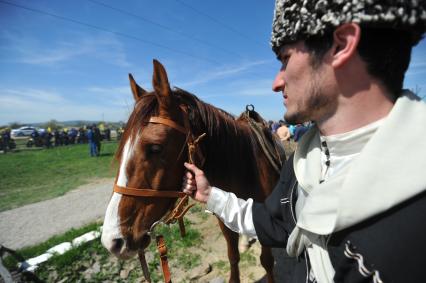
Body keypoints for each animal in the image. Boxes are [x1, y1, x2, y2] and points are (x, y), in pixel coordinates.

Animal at [101, 60, 284, 283]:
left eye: (155, 148)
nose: (112, 240)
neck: (246, 167)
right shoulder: (224, 218)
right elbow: (233, 256)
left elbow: (267, 261)